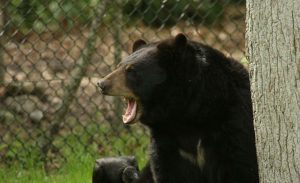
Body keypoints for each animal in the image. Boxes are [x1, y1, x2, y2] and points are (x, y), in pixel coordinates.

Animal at [97, 33, 258, 183]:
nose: (101, 84)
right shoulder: (166, 142)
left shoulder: (233, 124)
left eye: (131, 70)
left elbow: (241, 167)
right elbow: (168, 172)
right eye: (119, 65)